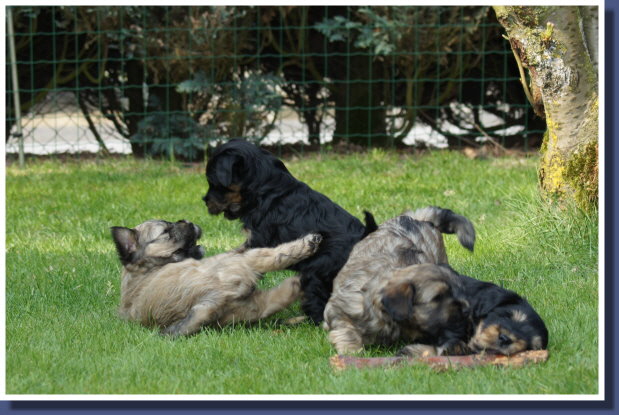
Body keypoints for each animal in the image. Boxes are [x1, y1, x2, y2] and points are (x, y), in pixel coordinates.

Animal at [111, 219, 322, 336]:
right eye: (165, 231)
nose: (187, 221)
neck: (149, 267)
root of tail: (212, 301)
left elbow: (237, 247)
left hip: (252, 304)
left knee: (280, 294)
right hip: (239, 268)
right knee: (272, 256)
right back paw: (308, 244)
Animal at [202, 139, 377, 324]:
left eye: (213, 183)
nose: (205, 200)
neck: (265, 191)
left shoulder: (258, 240)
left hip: (318, 272)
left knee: (318, 308)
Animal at [323, 206, 475, 354]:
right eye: (437, 298)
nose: (467, 310)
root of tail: (416, 218)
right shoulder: (340, 308)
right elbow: (347, 330)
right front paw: (350, 350)